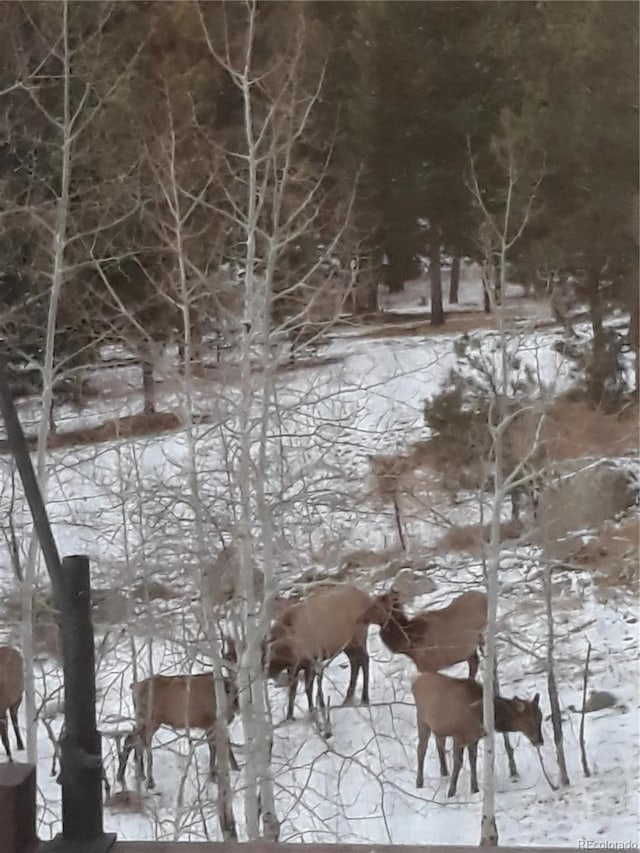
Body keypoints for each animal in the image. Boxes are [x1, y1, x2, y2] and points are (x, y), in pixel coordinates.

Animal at [118, 644, 240, 788]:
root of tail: (135, 686)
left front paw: (236, 768)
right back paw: (134, 778)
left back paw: (139, 775)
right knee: (132, 740)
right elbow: (215, 748)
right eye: (227, 660)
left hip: (150, 721)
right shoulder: (210, 721)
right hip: (148, 718)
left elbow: (225, 744)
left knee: (138, 742)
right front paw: (213, 776)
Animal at [266, 584, 376, 716]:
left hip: (358, 635)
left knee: (364, 659)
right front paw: (290, 716)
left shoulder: (310, 661)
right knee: (355, 661)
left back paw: (365, 698)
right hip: (347, 644)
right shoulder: (294, 667)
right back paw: (348, 699)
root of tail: (367, 598)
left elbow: (308, 688)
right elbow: (292, 691)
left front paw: (313, 710)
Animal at [412, 672, 544, 800]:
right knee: (421, 749)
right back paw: (419, 782)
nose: (540, 741)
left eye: (541, 718)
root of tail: (414, 683)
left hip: (439, 728)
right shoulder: (458, 735)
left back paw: (444, 773)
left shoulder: (474, 738)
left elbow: (473, 761)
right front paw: (451, 793)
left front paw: (474, 789)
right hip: (422, 720)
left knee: (439, 745)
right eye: (530, 720)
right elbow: (458, 762)